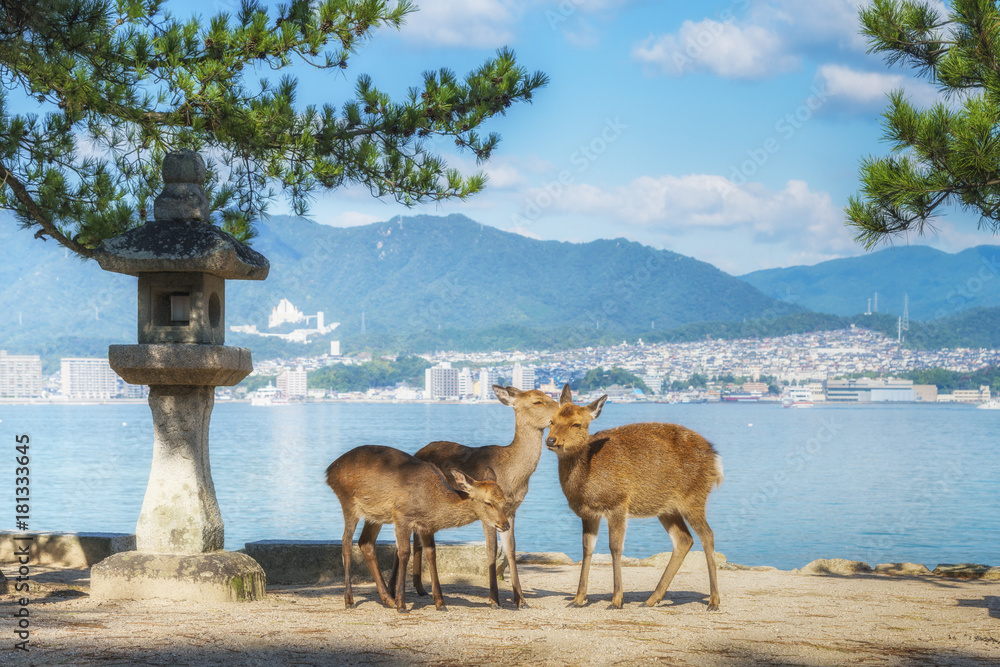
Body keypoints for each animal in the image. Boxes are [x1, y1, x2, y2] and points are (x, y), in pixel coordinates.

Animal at [325, 444, 510, 612]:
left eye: (504, 500)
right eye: (488, 502)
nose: (506, 525)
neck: (431, 502)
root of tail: (329, 471)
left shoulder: (426, 527)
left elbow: (431, 554)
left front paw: (440, 603)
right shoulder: (401, 516)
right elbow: (404, 553)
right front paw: (402, 605)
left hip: (375, 515)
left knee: (365, 542)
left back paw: (388, 600)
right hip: (349, 503)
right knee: (346, 543)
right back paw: (350, 600)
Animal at [389, 385, 559, 609]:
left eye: (548, 396)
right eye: (537, 401)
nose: (561, 411)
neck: (513, 476)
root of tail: (417, 453)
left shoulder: (511, 511)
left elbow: (511, 549)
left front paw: (521, 600)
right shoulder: (486, 513)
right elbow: (491, 549)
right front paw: (494, 599)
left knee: (417, 538)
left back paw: (420, 588)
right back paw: (394, 590)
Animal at [545, 384, 724, 611]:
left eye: (576, 424)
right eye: (551, 421)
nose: (551, 440)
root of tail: (716, 458)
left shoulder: (618, 503)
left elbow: (615, 547)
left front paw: (616, 600)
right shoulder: (588, 512)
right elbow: (587, 548)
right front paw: (577, 599)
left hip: (694, 498)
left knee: (707, 535)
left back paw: (714, 601)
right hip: (667, 508)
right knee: (684, 539)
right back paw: (652, 599)